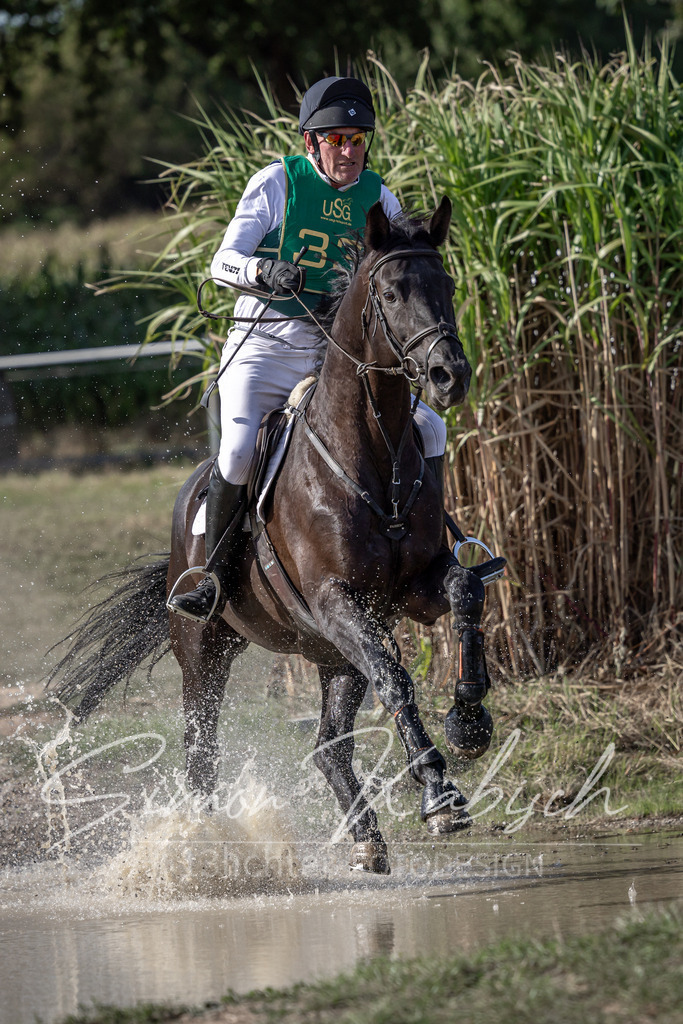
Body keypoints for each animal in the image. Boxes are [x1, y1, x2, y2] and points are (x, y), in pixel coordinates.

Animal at [49, 197, 502, 875]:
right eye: (393, 293)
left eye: (445, 285)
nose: (449, 375)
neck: (369, 452)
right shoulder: (336, 599)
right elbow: (397, 679)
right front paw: (439, 794)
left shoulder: (408, 593)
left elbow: (466, 592)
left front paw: (470, 721)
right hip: (206, 651)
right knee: (201, 755)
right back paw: (205, 852)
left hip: (333, 653)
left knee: (328, 747)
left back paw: (366, 838)